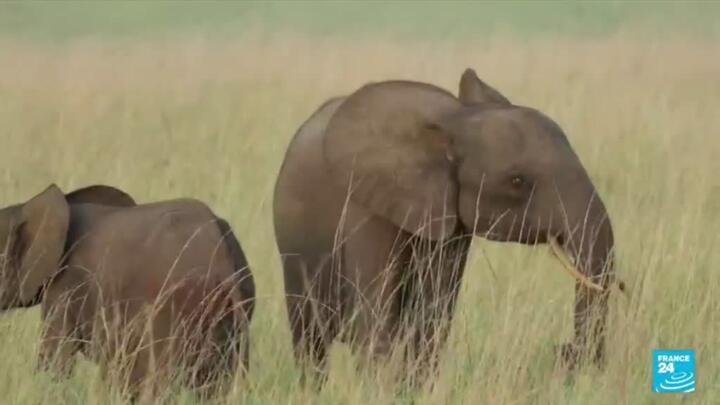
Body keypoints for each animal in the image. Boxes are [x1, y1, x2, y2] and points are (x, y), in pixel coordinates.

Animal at [273, 68, 621, 384]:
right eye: (517, 181)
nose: (564, 350)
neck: (453, 124)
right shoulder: (366, 208)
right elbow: (377, 309)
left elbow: (434, 310)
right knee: (310, 342)